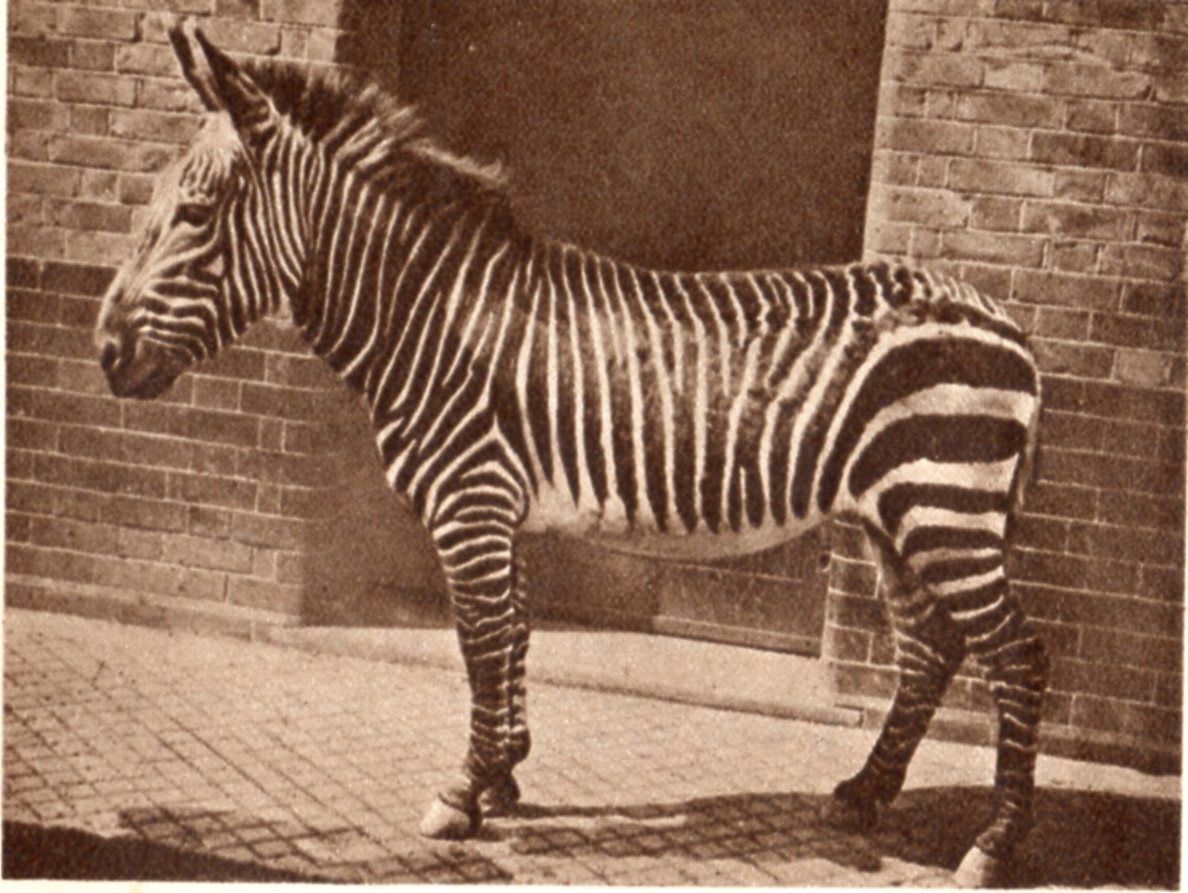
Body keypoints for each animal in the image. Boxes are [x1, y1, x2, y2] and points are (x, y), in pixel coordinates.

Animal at [95, 24, 1046, 886]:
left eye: (192, 214)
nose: (103, 352)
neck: (430, 319)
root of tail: (1004, 318)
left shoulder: (470, 501)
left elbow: (482, 641)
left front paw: (463, 793)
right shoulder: (499, 509)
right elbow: (513, 634)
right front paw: (504, 775)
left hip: (944, 508)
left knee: (1017, 657)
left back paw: (993, 848)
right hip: (896, 517)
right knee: (929, 652)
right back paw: (864, 793)